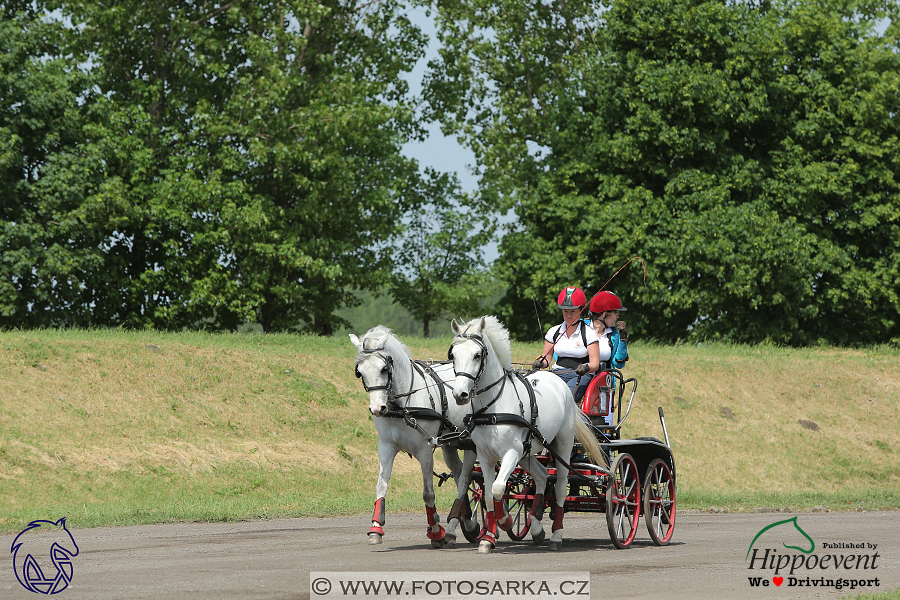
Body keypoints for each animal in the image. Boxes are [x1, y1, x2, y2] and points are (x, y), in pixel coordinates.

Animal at [348, 326, 482, 548]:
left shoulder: (425, 450)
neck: (403, 407)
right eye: (360, 372)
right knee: (458, 473)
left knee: (464, 479)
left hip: (471, 445)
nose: (377, 408)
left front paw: (435, 531)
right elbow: (381, 486)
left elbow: (428, 493)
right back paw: (466, 523)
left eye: (384, 369)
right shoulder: (386, 447)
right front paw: (376, 528)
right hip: (450, 444)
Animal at [448, 314, 604, 552]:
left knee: (559, 487)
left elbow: (498, 488)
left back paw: (556, 535)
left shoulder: (511, 452)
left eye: (477, 355)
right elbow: (488, 495)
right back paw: (536, 526)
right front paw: (488, 538)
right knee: (541, 475)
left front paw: (505, 521)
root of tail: (559, 380)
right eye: (453, 354)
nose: (460, 394)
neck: (493, 406)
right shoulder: (485, 455)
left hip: (561, 446)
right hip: (527, 453)